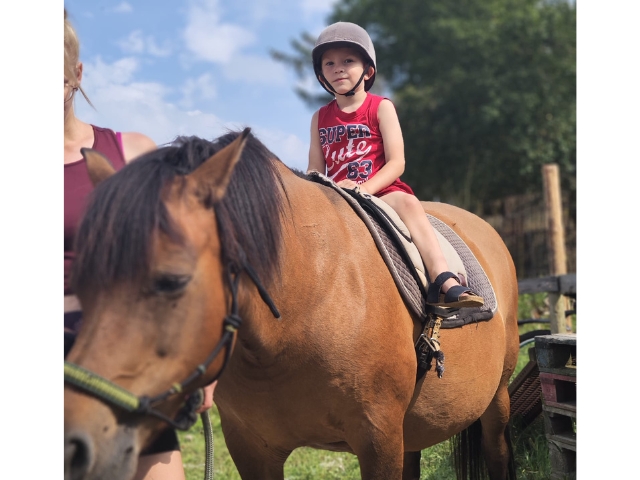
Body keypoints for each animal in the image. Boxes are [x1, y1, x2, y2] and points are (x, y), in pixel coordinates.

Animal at [63, 129, 520, 478]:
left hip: (496, 400)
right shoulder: (251, 447)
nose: (72, 446)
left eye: (172, 281)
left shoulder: (379, 438)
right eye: (81, 284)